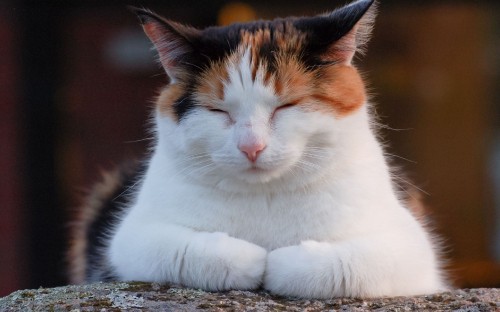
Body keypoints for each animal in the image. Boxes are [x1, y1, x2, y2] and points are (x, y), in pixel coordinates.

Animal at [67, 0, 450, 298]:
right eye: (218, 111)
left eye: (286, 106)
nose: (252, 146)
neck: (265, 196)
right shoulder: (132, 238)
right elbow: (186, 252)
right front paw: (253, 261)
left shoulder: (411, 249)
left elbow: (345, 264)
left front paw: (280, 263)